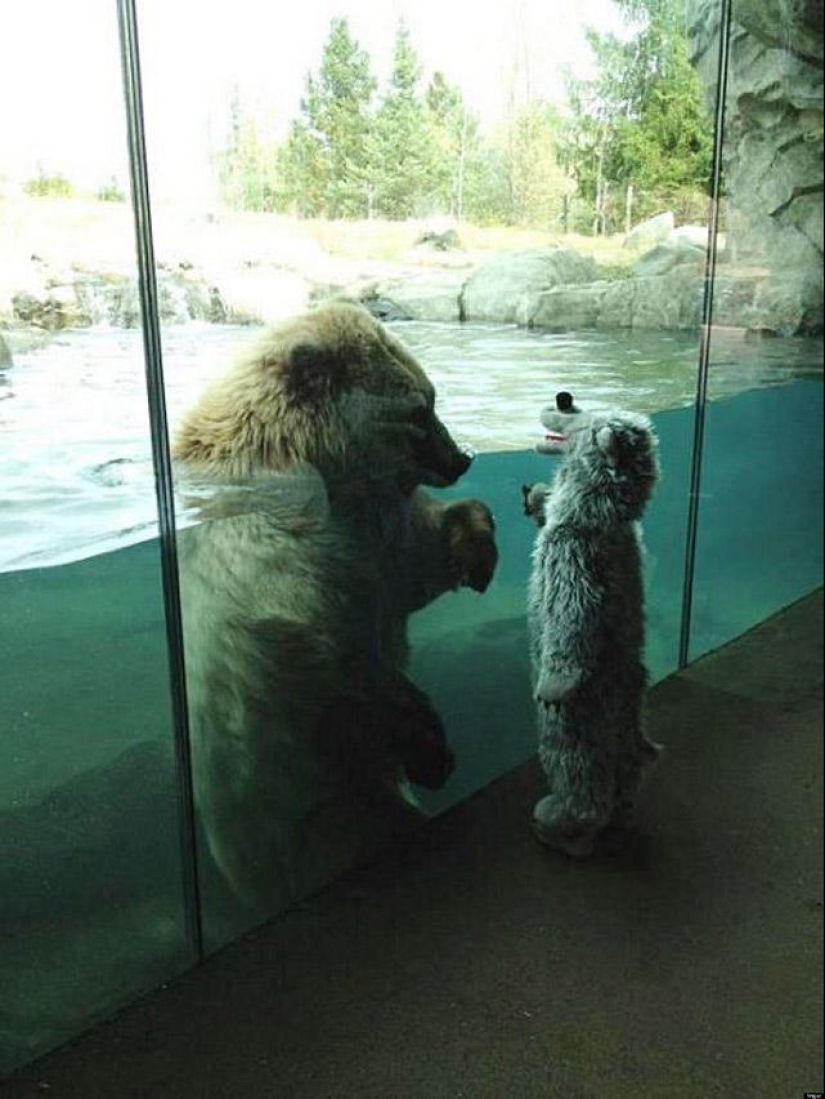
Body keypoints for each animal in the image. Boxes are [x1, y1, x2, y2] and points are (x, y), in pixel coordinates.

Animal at [173, 303, 496, 918]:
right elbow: (325, 660)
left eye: (432, 397)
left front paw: (477, 549)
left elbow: (416, 561)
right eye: (420, 410)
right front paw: (429, 744)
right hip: (314, 826)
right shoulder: (270, 564)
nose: (462, 459)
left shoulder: (372, 535)